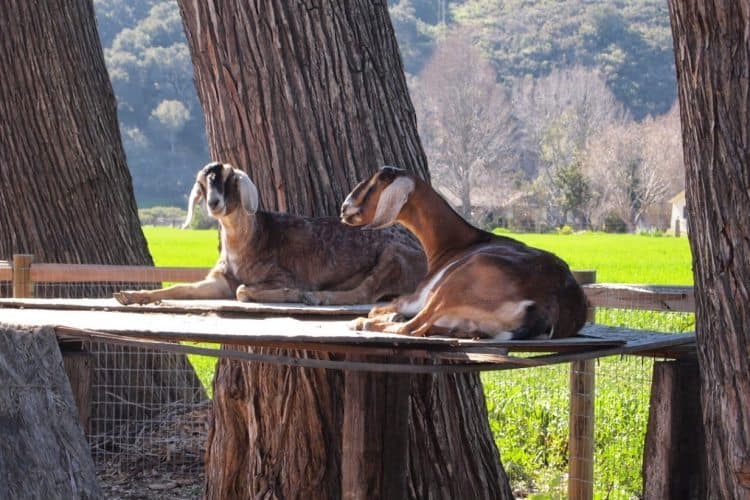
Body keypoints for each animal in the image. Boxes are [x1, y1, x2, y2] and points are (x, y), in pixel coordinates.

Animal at [113, 162, 428, 306]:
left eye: (229, 179)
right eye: (203, 183)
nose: (214, 203)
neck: (249, 240)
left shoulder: (281, 274)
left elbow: (242, 290)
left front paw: (291, 293)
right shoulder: (219, 282)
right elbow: (180, 288)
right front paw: (129, 295)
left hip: (393, 256)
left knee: (367, 292)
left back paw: (315, 297)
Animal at [338, 167, 592, 340]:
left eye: (376, 182)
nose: (344, 209)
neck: (455, 244)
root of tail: (550, 301)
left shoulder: (417, 297)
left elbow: (380, 308)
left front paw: (381, 317)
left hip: (449, 287)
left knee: (411, 328)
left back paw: (366, 322)